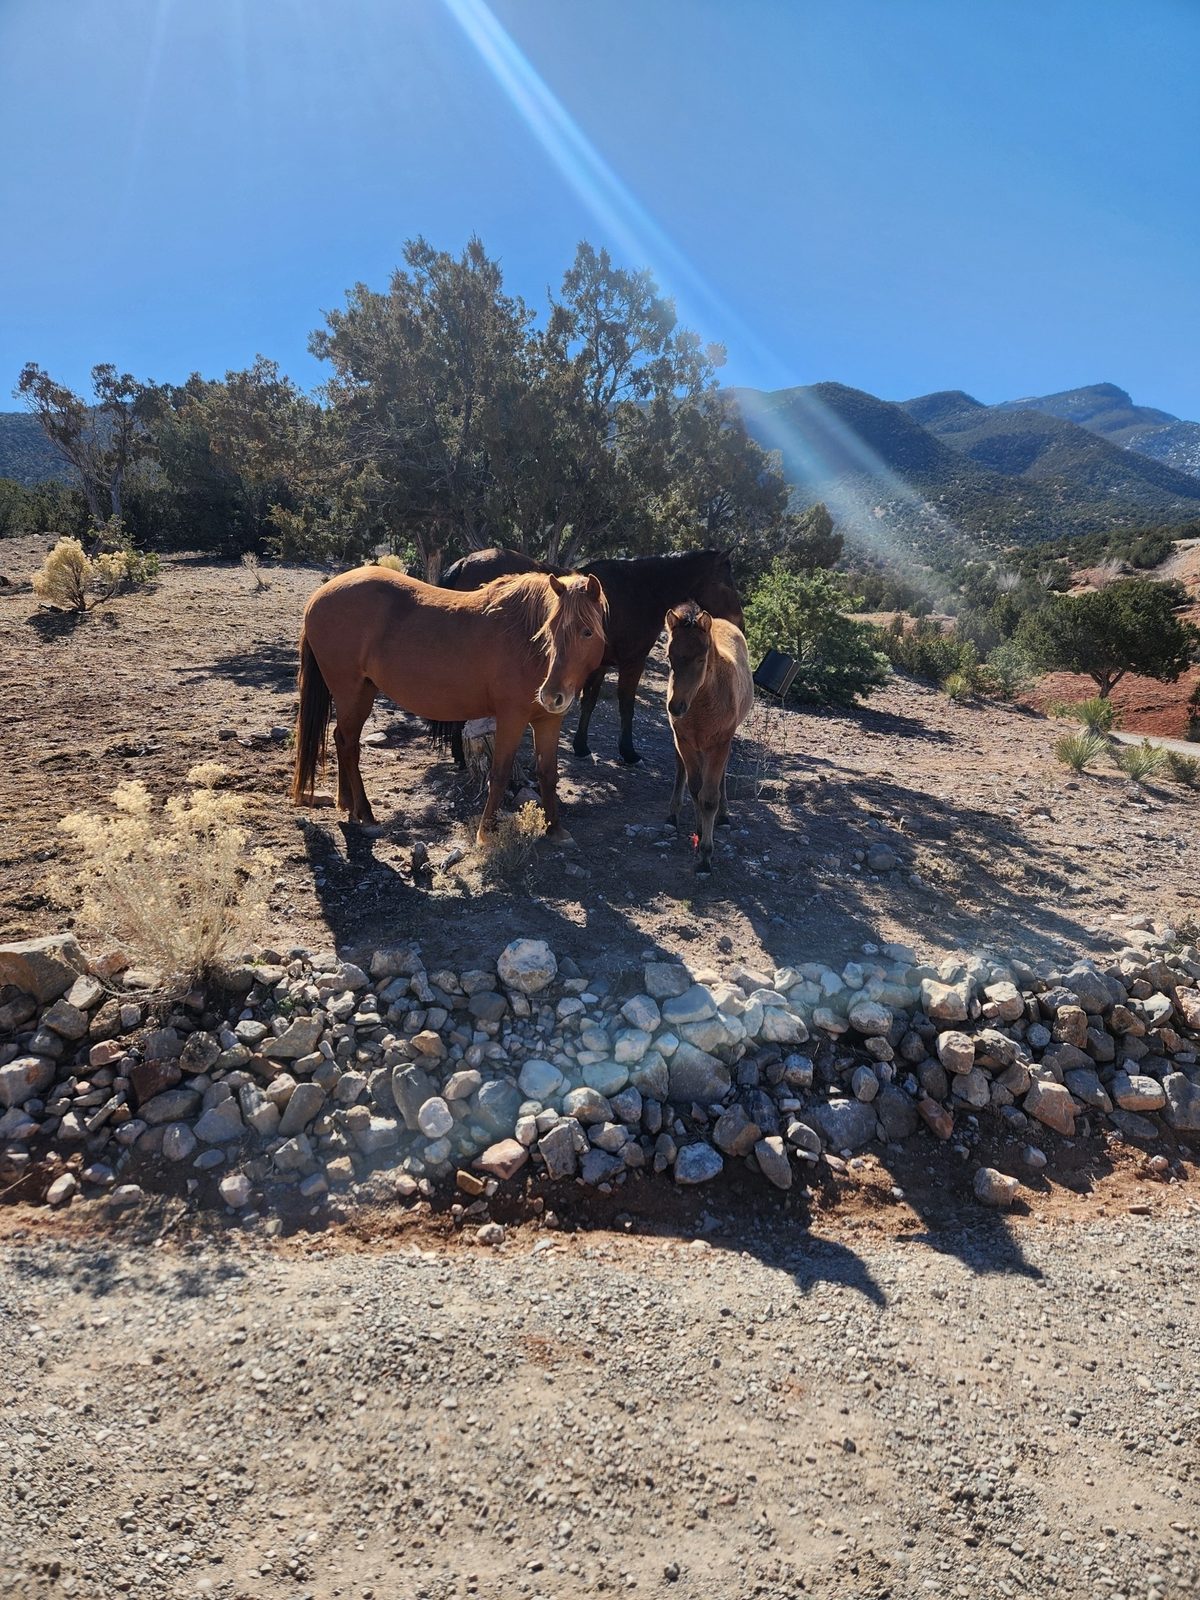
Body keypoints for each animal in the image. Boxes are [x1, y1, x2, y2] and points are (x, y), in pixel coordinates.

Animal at [292, 566, 607, 843]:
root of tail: (317, 597)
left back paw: (348, 803)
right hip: (351, 692)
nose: (551, 695)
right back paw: (366, 814)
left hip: (361, 693)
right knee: (349, 745)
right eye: (550, 628)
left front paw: (556, 830)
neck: (529, 646)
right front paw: (486, 834)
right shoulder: (511, 718)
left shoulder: (549, 720)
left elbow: (548, 773)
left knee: (342, 740)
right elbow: (500, 773)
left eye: (587, 632)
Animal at [440, 546, 744, 765]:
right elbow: (625, 705)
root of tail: (465, 561)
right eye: (727, 584)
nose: (739, 623)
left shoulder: (600, 664)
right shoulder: (632, 662)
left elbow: (589, 702)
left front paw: (581, 746)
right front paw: (629, 752)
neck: (640, 592)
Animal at [664, 600, 754, 873]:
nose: (676, 707)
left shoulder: (719, 744)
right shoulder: (684, 741)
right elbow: (696, 790)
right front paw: (700, 834)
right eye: (669, 657)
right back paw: (673, 815)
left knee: (721, 774)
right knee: (681, 769)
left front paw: (705, 855)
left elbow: (709, 798)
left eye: (701, 658)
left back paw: (723, 816)